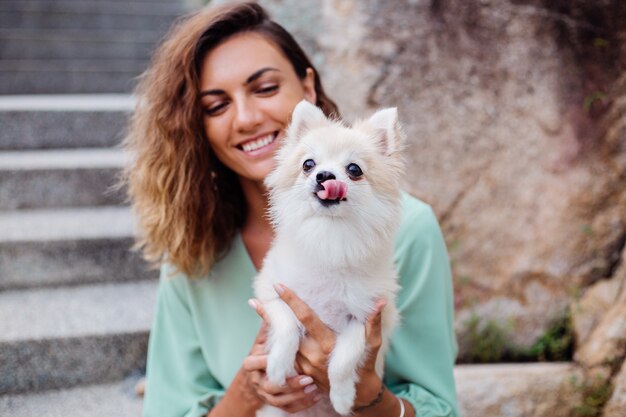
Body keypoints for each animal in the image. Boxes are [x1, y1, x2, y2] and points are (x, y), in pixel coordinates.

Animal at [254, 100, 404, 416]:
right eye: (308, 165)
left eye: (354, 169)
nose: (323, 175)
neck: (329, 235)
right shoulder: (273, 294)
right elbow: (286, 326)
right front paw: (277, 367)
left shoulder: (364, 318)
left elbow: (343, 361)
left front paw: (344, 396)